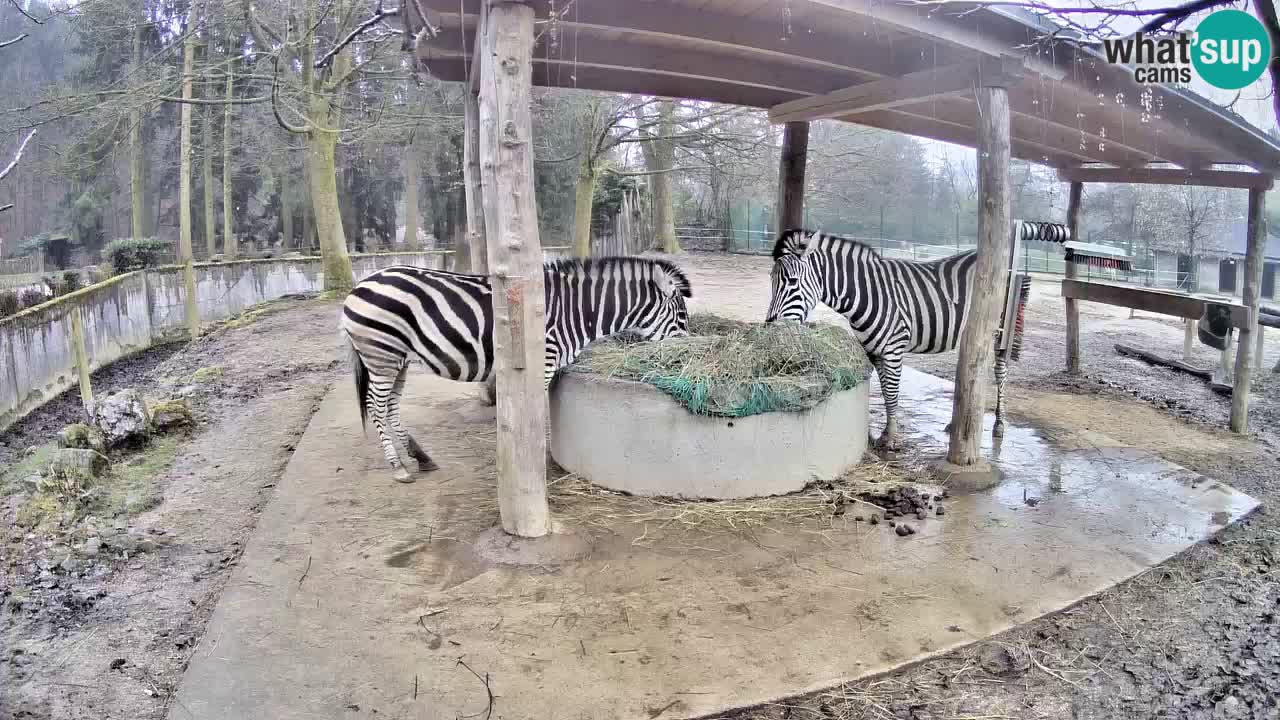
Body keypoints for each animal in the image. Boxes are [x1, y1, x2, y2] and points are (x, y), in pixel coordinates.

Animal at [337, 254, 691, 479]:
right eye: (682, 316)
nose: (688, 350)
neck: (578, 311)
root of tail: (359, 285)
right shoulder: (542, 360)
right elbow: (533, 416)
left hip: (398, 359)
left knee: (390, 406)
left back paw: (421, 458)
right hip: (382, 353)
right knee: (376, 405)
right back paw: (398, 467)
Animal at [762, 225, 1064, 448]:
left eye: (791, 281)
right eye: (772, 280)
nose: (770, 326)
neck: (867, 293)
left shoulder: (894, 348)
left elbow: (892, 392)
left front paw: (891, 438)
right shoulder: (873, 350)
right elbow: (885, 391)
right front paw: (886, 433)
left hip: (999, 331)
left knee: (1000, 372)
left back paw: (999, 423)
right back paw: (957, 424)